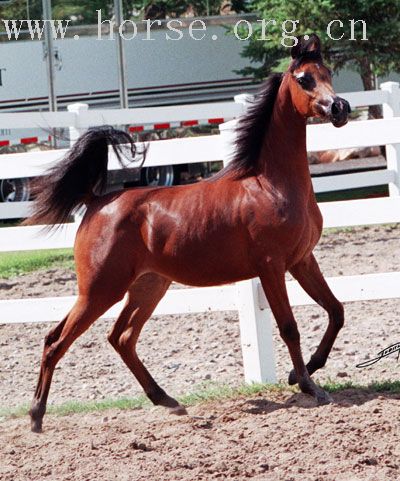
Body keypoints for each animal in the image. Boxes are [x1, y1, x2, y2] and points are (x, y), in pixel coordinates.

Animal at [25, 34, 350, 433]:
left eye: (328, 73)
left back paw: (167, 400)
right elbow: (289, 326)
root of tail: (97, 200)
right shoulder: (272, 267)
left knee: (121, 338)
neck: (271, 184)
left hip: (148, 286)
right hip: (99, 291)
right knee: (56, 341)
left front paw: (301, 374)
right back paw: (36, 416)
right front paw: (309, 386)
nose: (340, 107)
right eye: (304, 79)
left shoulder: (303, 260)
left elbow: (335, 310)